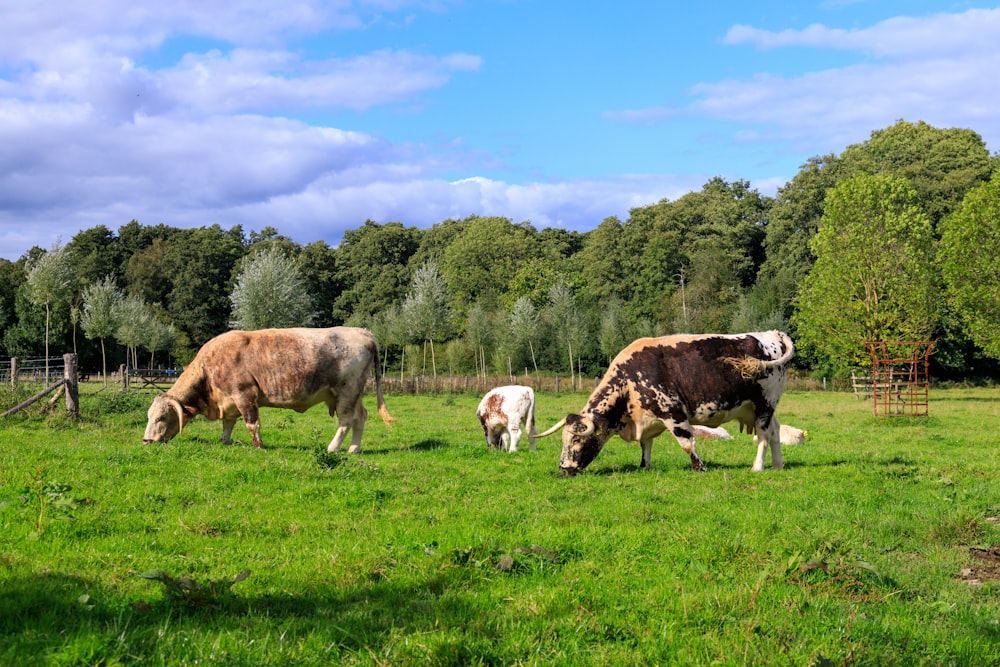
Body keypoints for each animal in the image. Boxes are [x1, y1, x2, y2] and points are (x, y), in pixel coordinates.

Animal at [145, 326, 394, 452]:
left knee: (346, 421)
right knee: (361, 417)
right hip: (355, 393)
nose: (146, 441)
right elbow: (228, 424)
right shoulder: (229, 400)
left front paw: (259, 445)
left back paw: (332, 448)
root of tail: (363, 332)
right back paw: (354, 449)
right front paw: (225, 441)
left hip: (347, 391)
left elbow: (251, 423)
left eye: (161, 417)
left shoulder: (244, 394)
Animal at [540, 332, 796, 472]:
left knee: (763, 436)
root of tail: (772, 334)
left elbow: (687, 443)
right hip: (760, 408)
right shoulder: (648, 419)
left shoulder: (673, 413)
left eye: (576, 439)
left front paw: (699, 467)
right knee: (775, 431)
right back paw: (778, 464)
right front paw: (644, 466)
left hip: (765, 405)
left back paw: (757, 467)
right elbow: (646, 446)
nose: (564, 468)